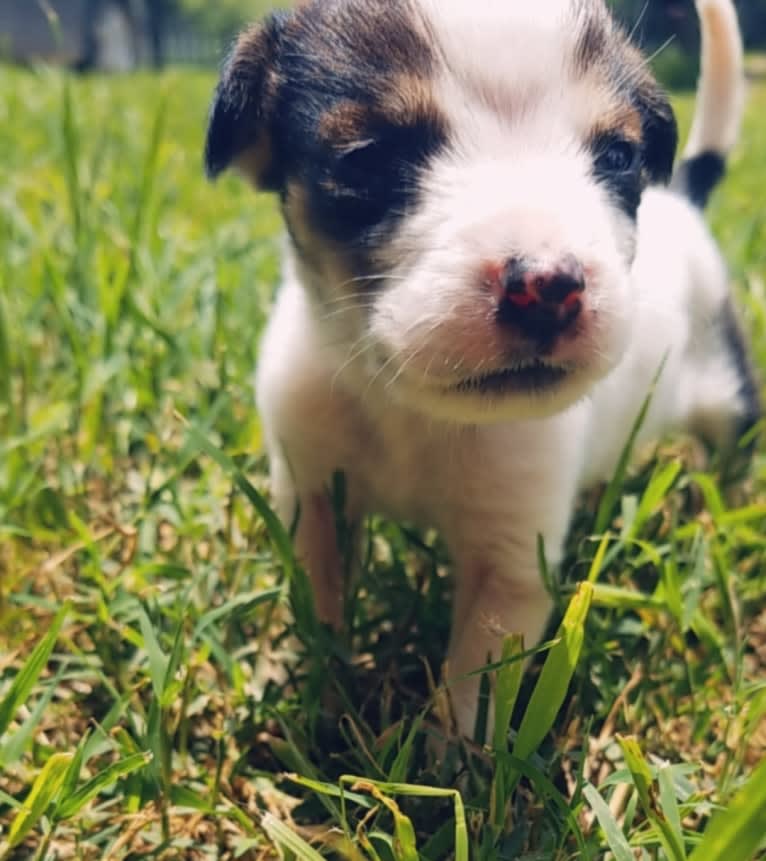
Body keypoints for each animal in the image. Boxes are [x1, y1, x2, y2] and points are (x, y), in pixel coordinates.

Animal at [206, 0, 760, 736]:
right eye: (370, 158)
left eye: (617, 156)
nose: (549, 285)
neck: (411, 410)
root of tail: (687, 205)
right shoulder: (311, 493)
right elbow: (319, 607)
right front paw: (320, 704)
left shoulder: (511, 562)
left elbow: (475, 682)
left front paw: (450, 757)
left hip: (728, 399)